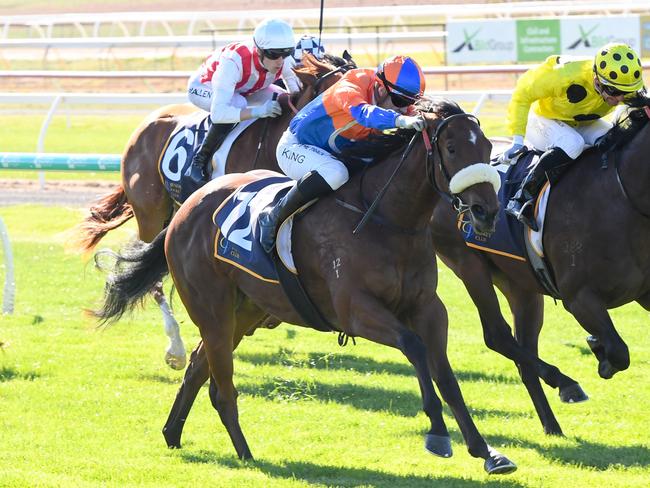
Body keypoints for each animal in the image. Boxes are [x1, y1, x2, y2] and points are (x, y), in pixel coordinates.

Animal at [90, 101, 516, 474]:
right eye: (452, 148)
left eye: (488, 148)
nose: (487, 212)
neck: (386, 219)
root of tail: (187, 208)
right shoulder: (356, 311)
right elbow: (414, 348)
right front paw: (438, 434)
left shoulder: (428, 308)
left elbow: (445, 374)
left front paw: (487, 452)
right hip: (211, 307)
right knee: (221, 387)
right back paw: (246, 454)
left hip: (246, 311)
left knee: (198, 367)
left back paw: (173, 433)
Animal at [430, 102, 650, 434]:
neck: (621, 196)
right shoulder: (580, 298)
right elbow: (618, 352)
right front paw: (599, 351)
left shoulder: (646, 294)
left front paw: (595, 345)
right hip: (468, 264)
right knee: (497, 335)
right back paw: (567, 385)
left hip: (521, 286)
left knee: (524, 356)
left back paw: (552, 424)